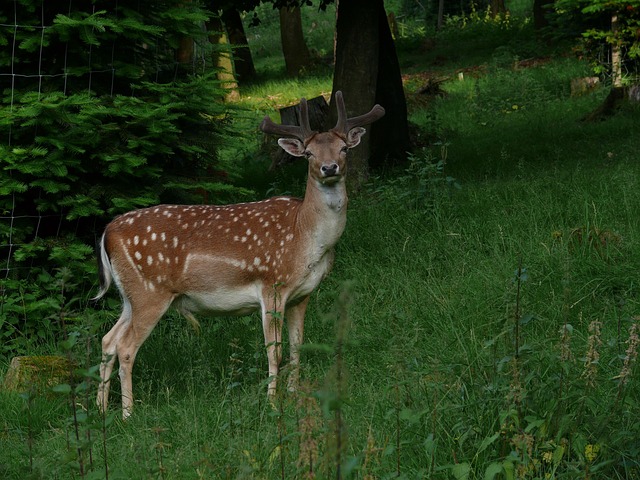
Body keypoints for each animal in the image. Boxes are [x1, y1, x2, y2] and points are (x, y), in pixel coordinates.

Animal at [93, 91, 384, 420]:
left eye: (344, 148)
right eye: (309, 154)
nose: (330, 167)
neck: (305, 236)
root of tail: (107, 232)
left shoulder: (303, 293)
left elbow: (297, 345)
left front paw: (294, 395)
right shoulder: (273, 285)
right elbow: (274, 349)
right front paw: (272, 404)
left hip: (130, 295)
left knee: (108, 340)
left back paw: (100, 409)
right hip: (150, 292)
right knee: (126, 347)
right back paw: (128, 414)